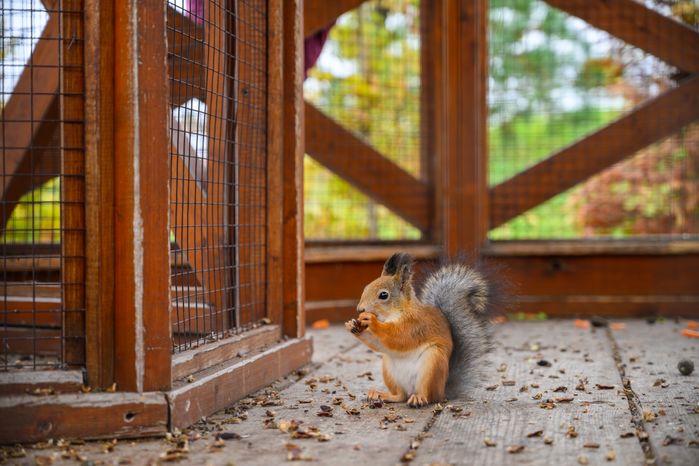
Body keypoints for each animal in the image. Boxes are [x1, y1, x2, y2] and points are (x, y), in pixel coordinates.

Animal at [345, 252, 492, 407]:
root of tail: (443, 391)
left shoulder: (416, 325)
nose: (360, 309)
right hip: (390, 370)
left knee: (428, 395)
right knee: (401, 396)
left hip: (432, 363)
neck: (395, 313)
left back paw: (419, 398)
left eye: (383, 295)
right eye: (366, 288)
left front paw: (371, 321)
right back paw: (381, 395)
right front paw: (352, 326)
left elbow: (399, 338)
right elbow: (378, 343)